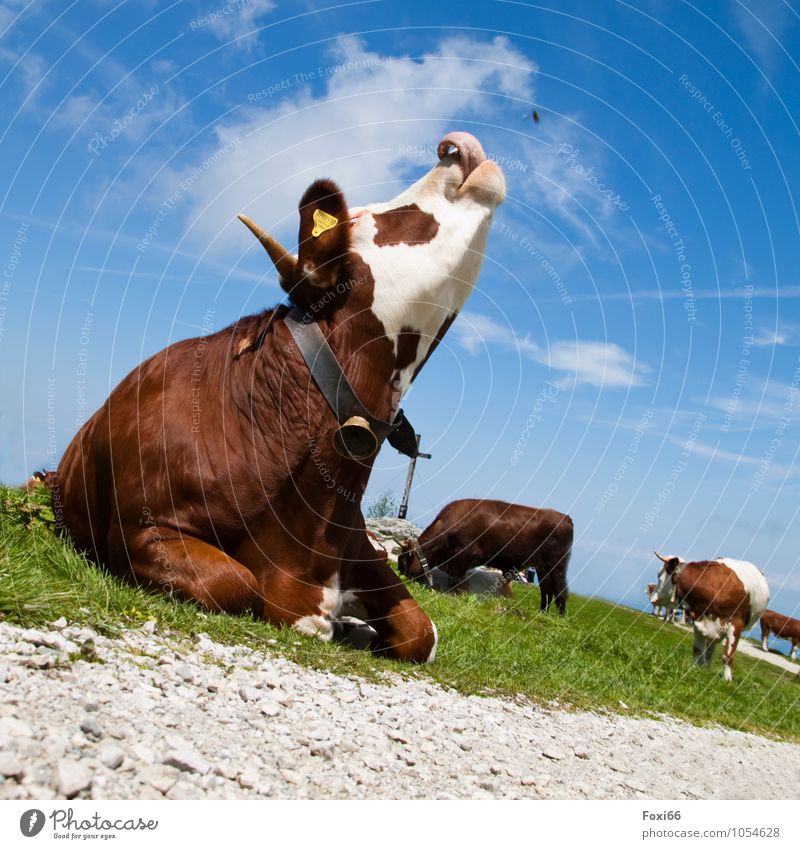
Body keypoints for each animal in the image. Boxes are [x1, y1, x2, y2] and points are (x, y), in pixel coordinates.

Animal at [47, 131, 506, 664]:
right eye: (361, 218)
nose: (454, 145)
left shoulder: (356, 544)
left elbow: (422, 631)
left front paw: (361, 629)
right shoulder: (142, 531)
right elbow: (236, 584)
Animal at [396, 496, 572, 608]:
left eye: (403, 562)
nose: (401, 579)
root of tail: (565, 518)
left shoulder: (462, 556)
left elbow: (456, 580)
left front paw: (457, 596)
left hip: (557, 565)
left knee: (561, 591)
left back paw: (559, 618)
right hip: (542, 567)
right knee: (546, 590)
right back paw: (543, 612)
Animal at [652, 548, 772, 684]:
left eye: (659, 576)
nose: (653, 597)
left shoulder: (736, 623)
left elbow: (727, 656)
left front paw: (727, 680)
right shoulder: (698, 619)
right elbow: (698, 649)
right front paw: (695, 669)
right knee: (710, 647)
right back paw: (706, 666)